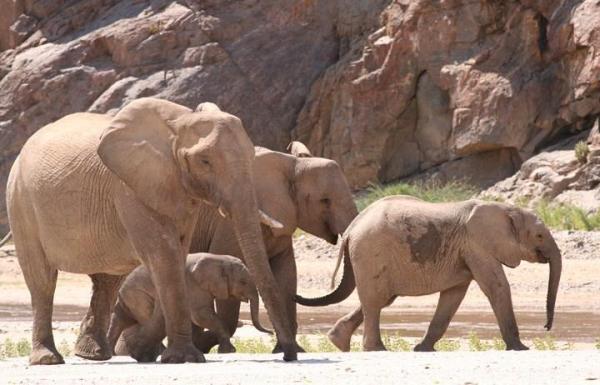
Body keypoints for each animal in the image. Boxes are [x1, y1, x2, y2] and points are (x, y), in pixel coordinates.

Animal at [108, 252, 272, 360]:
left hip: (130, 298)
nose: (271, 332)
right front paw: (229, 351)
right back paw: (156, 353)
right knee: (144, 318)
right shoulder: (193, 284)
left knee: (120, 320)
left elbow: (197, 317)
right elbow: (201, 315)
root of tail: (121, 289)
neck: (220, 259)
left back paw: (112, 354)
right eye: (243, 282)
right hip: (139, 295)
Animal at [189, 143, 356, 352]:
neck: (292, 163)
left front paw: (291, 350)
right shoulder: (228, 224)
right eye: (325, 200)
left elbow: (286, 274)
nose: (299, 297)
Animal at [296, 196, 564, 352]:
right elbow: (496, 287)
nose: (546, 326)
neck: (507, 209)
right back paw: (376, 350)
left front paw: (423, 349)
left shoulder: (466, 249)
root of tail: (352, 228)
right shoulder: (477, 245)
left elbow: (453, 296)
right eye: (539, 235)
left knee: (380, 298)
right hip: (371, 252)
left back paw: (338, 342)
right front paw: (520, 348)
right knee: (375, 301)